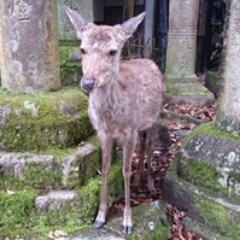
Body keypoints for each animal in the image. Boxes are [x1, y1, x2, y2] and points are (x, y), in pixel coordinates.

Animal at [64, 6, 164, 235]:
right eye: (82, 49)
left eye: (112, 51)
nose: (88, 83)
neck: (112, 117)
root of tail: (149, 60)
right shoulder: (103, 132)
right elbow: (106, 167)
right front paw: (100, 217)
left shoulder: (130, 129)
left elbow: (125, 170)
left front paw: (127, 222)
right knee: (143, 145)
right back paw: (140, 178)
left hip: (155, 117)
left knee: (149, 144)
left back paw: (150, 182)